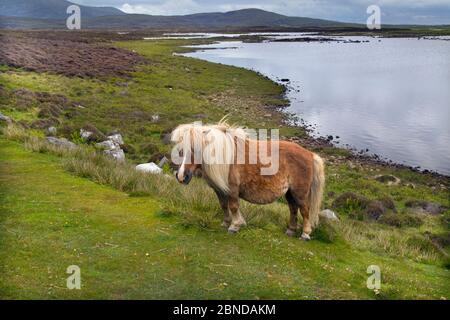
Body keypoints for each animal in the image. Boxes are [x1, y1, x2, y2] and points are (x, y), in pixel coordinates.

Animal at [171, 120, 326, 240]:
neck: (226, 159)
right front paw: (226, 222)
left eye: (196, 150)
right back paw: (291, 230)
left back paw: (305, 234)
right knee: (293, 209)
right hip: (289, 193)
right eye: (180, 151)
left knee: (304, 210)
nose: (181, 176)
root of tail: (310, 154)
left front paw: (234, 226)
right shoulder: (219, 189)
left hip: (300, 193)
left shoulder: (232, 189)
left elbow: (233, 206)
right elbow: (223, 205)